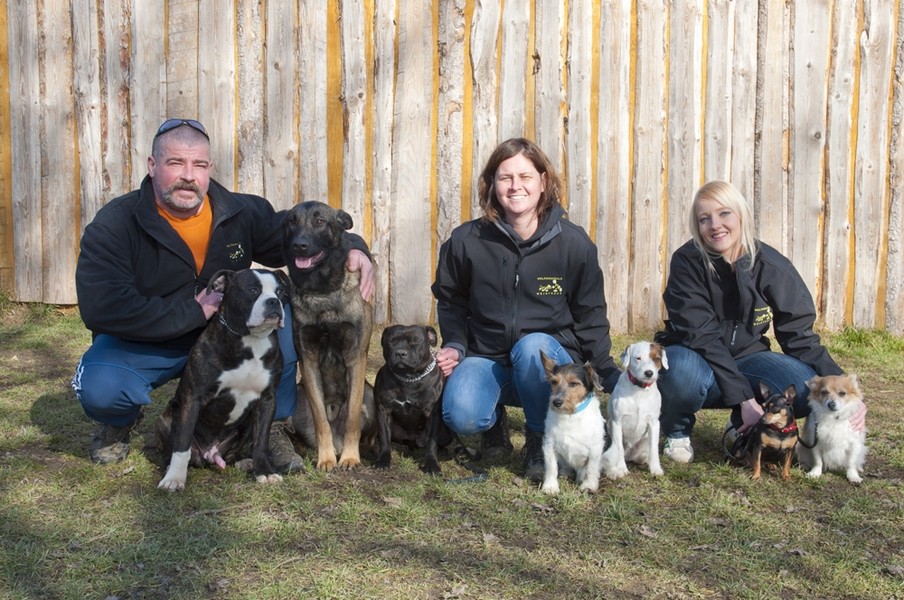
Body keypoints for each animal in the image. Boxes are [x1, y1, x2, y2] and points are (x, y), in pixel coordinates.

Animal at [155, 268, 289, 491]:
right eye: (253, 290)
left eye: (280, 292)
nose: (274, 301)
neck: (250, 340)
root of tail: (210, 454)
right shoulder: (193, 398)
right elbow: (182, 444)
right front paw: (175, 478)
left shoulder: (267, 400)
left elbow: (261, 441)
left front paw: (265, 471)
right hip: (166, 418)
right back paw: (170, 468)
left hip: (245, 426)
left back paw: (245, 462)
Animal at [283, 201, 374, 471]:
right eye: (292, 221)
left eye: (320, 221)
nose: (299, 245)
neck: (321, 292)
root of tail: (338, 439)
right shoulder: (309, 361)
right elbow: (321, 419)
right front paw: (326, 458)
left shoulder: (355, 359)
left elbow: (353, 419)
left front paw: (351, 457)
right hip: (298, 394)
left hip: (370, 394)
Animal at [373, 325, 452, 474]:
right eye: (391, 340)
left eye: (415, 341)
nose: (400, 353)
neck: (408, 378)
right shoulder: (383, 410)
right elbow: (384, 436)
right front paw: (383, 459)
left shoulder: (432, 414)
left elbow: (432, 442)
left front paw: (432, 464)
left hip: (445, 431)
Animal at [539, 351, 606, 495]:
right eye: (554, 382)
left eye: (574, 384)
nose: (556, 402)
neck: (570, 416)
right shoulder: (549, 444)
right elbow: (551, 467)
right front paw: (550, 486)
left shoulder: (595, 448)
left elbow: (591, 469)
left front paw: (589, 485)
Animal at [601, 341, 666, 479]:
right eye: (638, 358)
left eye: (656, 358)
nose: (649, 373)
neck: (639, 390)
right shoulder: (617, 422)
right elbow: (619, 448)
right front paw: (621, 468)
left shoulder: (654, 423)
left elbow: (654, 449)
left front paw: (655, 468)